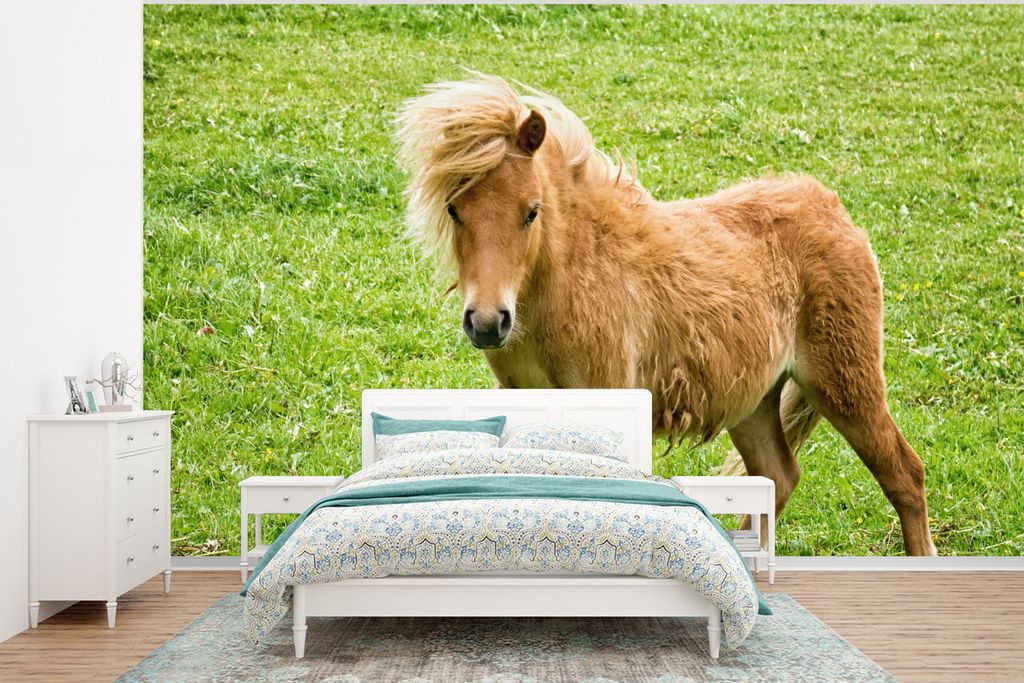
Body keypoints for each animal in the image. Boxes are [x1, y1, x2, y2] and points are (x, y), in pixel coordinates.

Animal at [395, 74, 937, 556]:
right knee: (779, 478)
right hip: (753, 401)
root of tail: (833, 211)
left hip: (845, 385)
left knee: (904, 474)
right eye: (454, 210)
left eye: (531, 211)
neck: (572, 280)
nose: (488, 322)